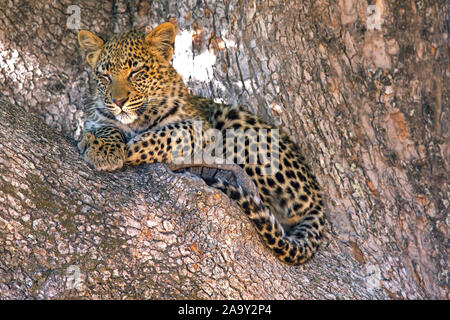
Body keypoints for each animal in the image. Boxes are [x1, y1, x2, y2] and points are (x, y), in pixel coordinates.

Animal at [76, 21, 324, 264]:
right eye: (105, 75)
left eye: (136, 71)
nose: (118, 101)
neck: (138, 120)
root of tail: (316, 192)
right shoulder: (96, 119)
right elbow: (106, 127)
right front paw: (103, 149)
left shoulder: (200, 127)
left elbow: (167, 134)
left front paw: (130, 148)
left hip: (237, 126)